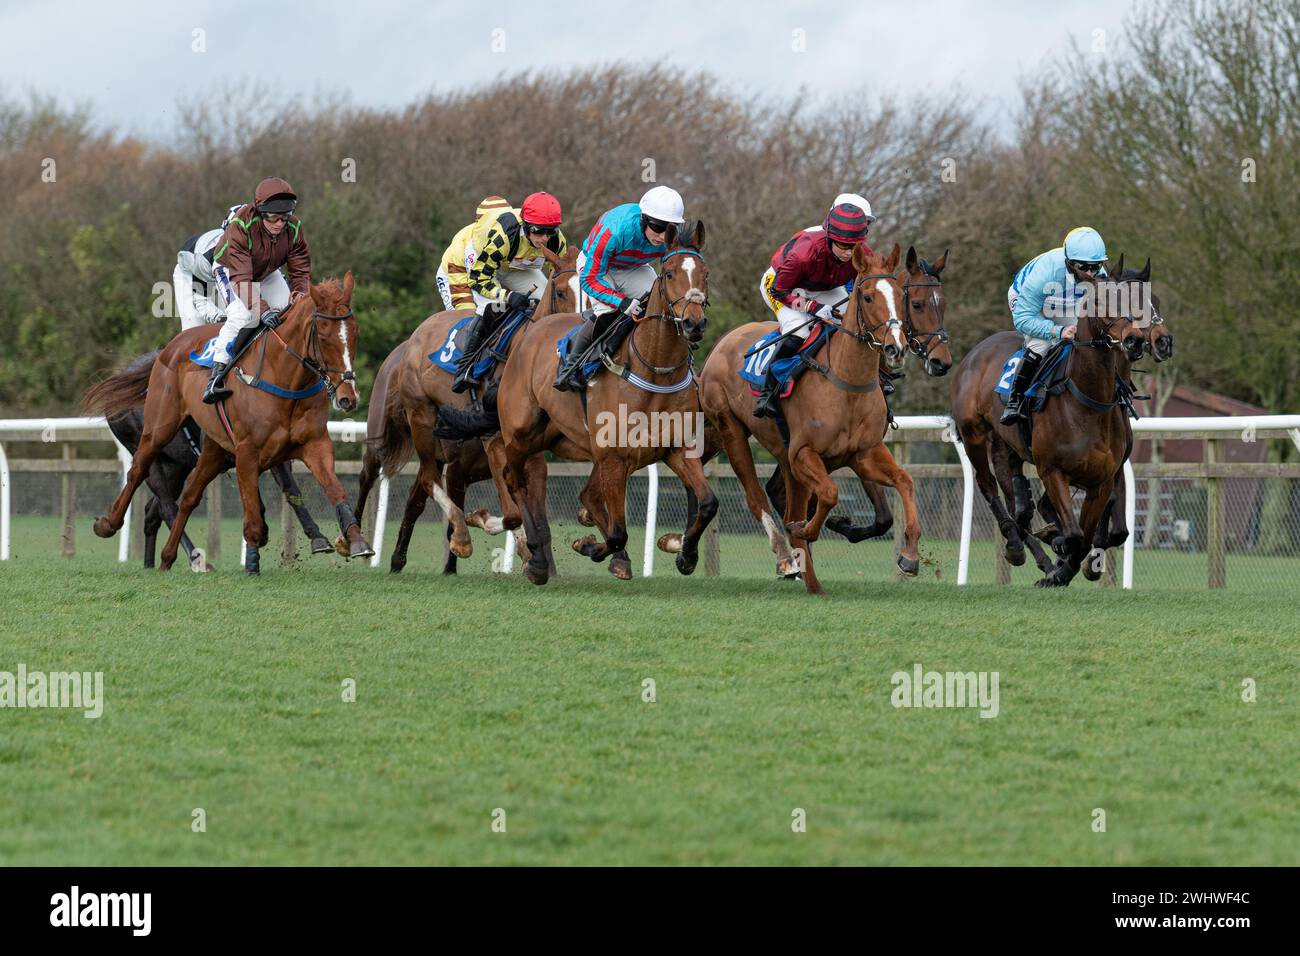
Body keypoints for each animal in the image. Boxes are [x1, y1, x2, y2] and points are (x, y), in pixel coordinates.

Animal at [87, 273, 371, 572]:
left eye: (355, 332)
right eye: (324, 335)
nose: (348, 396)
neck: (284, 376)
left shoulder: (309, 444)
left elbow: (321, 488)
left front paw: (346, 540)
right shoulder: (248, 448)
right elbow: (270, 495)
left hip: (178, 463)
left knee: (163, 507)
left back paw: (157, 562)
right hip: (154, 436)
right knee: (147, 483)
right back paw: (118, 528)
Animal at [356, 247, 579, 574]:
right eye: (561, 292)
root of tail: (412, 339)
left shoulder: (531, 458)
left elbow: (534, 519)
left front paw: (538, 562)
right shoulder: (479, 453)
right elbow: (509, 514)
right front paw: (475, 531)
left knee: (418, 492)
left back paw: (398, 559)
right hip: (402, 425)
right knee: (375, 474)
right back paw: (352, 541)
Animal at [441, 222, 717, 582]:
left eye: (705, 274)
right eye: (669, 273)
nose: (693, 324)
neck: (656, 370)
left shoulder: (676, 447)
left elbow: (707, 503)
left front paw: (685, 554)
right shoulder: (612, 457)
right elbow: (617, 533)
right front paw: (590, 548)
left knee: (573, 494)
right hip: (518, 433)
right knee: (514, 482)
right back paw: (529, 555)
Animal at [702, 243, 915, 595]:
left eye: (901, 295)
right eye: (868, 296)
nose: (896, 348)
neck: (846, 383)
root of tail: (723, 342)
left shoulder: (865, 454)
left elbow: (905, 483)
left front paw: (909, 557)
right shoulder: (804, 453)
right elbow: (829, 494)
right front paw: (807, 530)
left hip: (784, 455)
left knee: (788, 501)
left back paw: (811, 579)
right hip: (731, 429)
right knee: (757, 497)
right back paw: (789, 560)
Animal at [946, 254, 1149, 587]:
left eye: (1139, 302)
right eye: (1100, 301)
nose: (1135, 340)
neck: (1088, 402)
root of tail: (976, 351)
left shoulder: (1105, 477)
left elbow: (1095, 534)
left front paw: (1067, 566)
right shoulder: (1053, 471)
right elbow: (1075, 535)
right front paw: (1059, 554)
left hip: (1008, 447)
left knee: (1016, 497)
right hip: (974, 435)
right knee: (988, 487)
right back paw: (1017, 545)